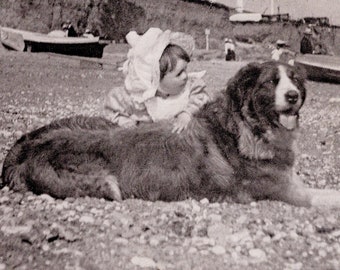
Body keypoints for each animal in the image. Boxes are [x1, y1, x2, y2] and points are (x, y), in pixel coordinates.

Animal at [1, 62, 340, 208]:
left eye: (294, 80)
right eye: (271, 82)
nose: (293, 96)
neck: (246, 127)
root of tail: (22, 149)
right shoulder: (284, 190)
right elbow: (325, 197)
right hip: (103, 182)